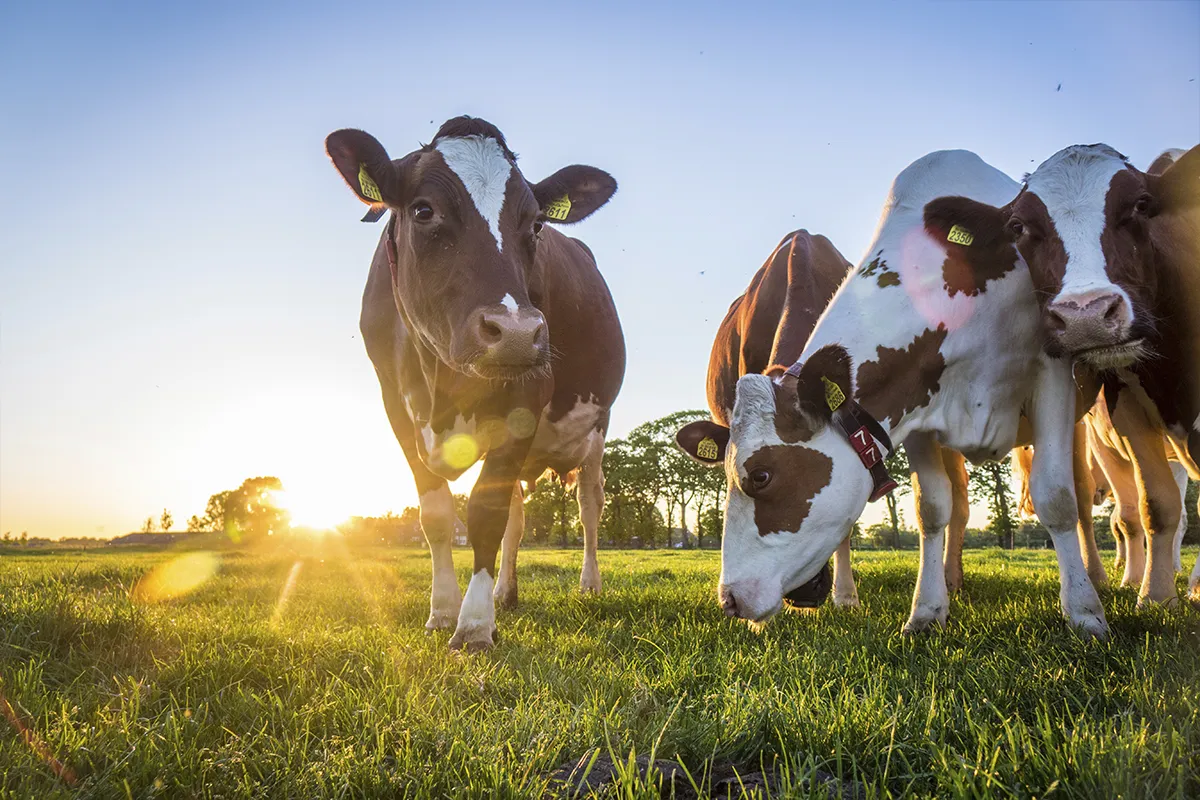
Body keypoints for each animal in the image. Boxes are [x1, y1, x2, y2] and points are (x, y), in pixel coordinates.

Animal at [325, 117, 625, 651]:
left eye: (537, 224)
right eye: (424, 210)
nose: (518, 332)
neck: (442, 381)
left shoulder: (527, 397)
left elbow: (485, 512)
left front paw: (474, 625)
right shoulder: (396, 407)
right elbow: (437, 515)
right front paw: (443, 611)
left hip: (596, 427)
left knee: (589, 505)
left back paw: (589, 585)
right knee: (519, 516)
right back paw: (507, 592)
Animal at [927, 144, 1200, 604]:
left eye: (1141, 204)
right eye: (1018, 226)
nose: (1085, 316)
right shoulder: (1128, 411)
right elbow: (1155, 507)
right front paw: (1155, 595)